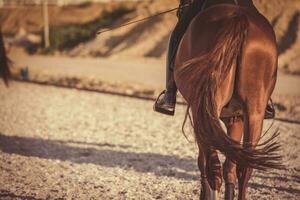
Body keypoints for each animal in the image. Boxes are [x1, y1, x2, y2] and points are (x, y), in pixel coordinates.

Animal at [175, 0, 282, 200]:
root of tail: (238, 18)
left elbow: (204, 161)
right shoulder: (236, 118)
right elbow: (230, 167)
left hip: (206, 111)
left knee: (213, 167)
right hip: (254, 112)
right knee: (244, 167)